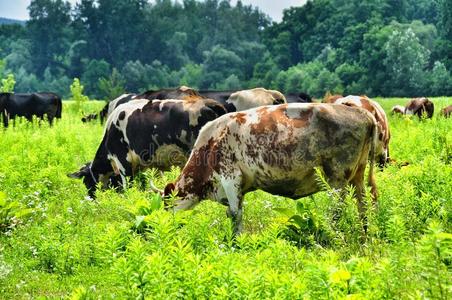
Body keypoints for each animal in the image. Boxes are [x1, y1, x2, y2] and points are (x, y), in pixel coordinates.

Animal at [162, 103, 378, 234]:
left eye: (166, 203)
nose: (163, 226)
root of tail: (363, 113)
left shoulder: (230, 177)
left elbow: (235, 214)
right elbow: (234, 212)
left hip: (337, 180)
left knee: (338, 209)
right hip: (357, 176)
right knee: (363, 205)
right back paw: (364, 235)